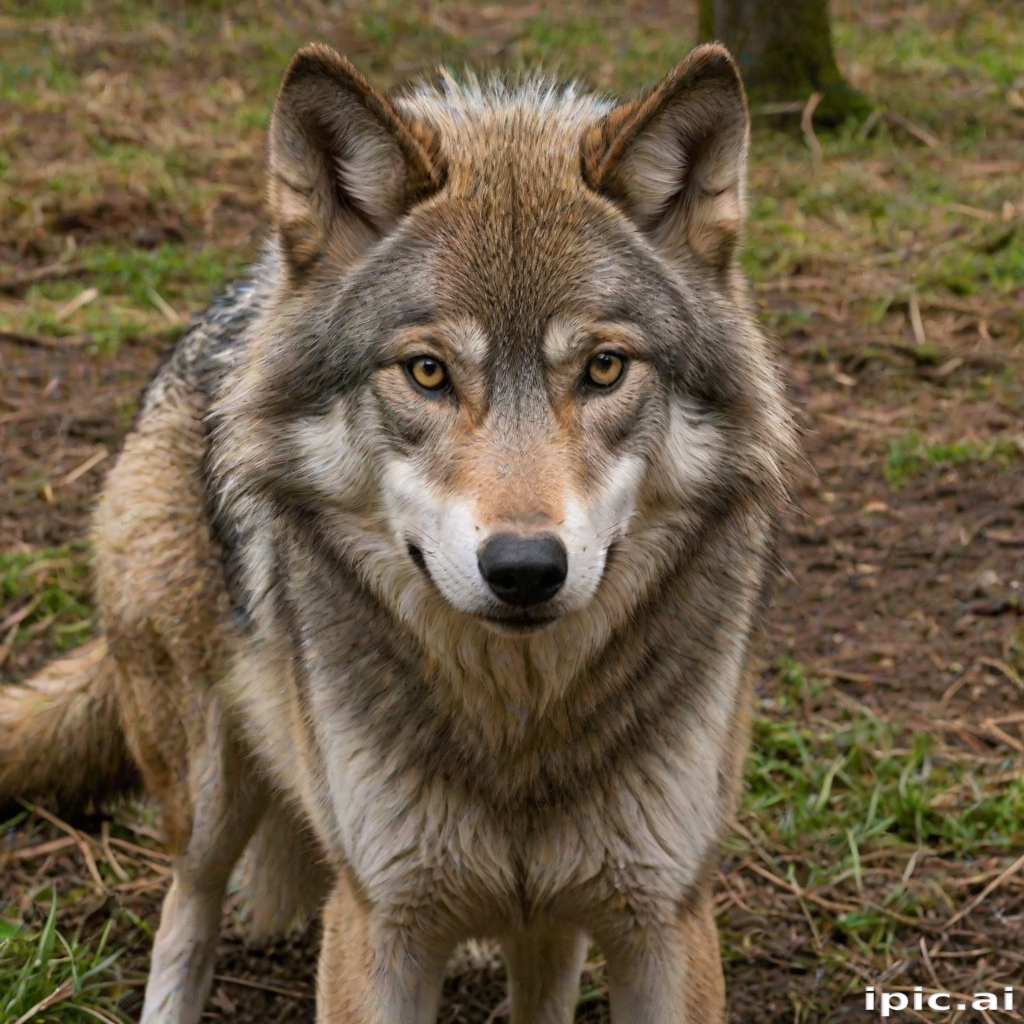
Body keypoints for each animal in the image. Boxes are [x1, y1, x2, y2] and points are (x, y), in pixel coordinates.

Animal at [0, 41, 796, 1023]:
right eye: (426, 372)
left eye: (606, 367)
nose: (525, 569)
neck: (519, 729)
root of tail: (242, 291)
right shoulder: (379, 919)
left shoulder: (666, 918)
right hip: (205, 783)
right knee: (187, 905)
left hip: (550, 914)